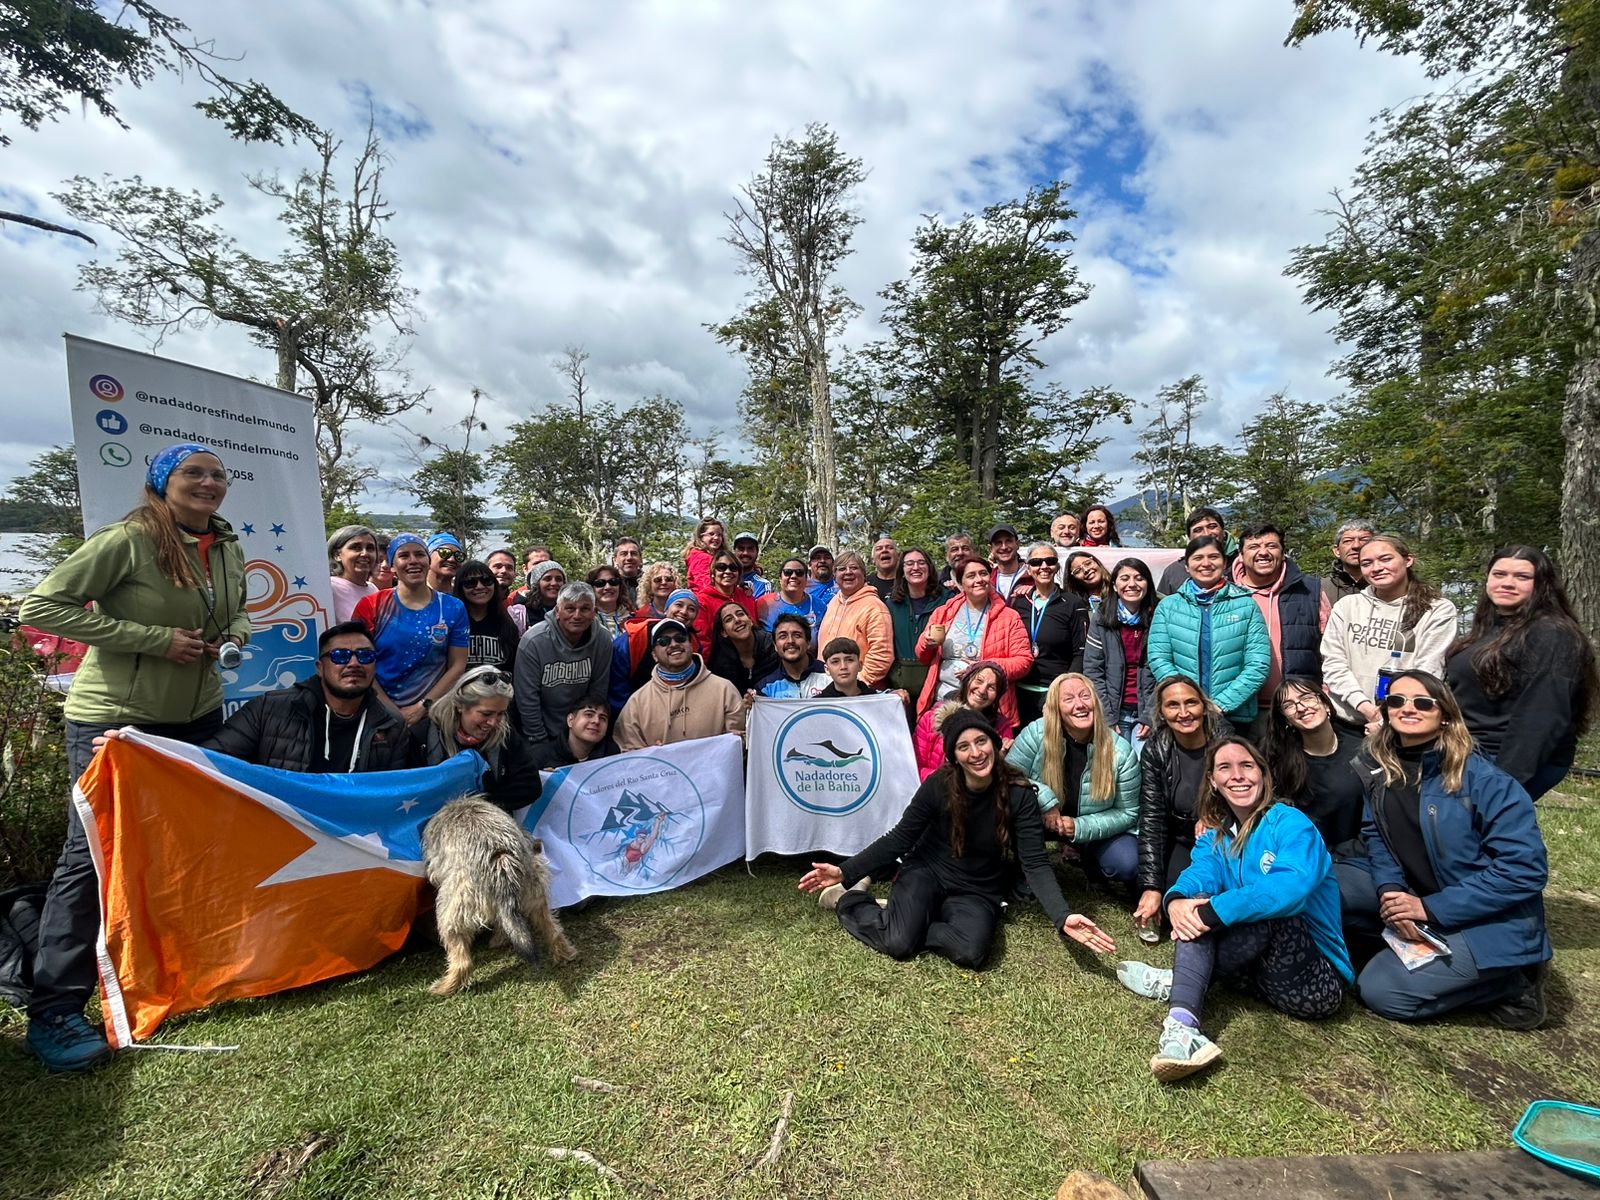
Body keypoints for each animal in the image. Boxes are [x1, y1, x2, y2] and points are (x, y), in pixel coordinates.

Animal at [422, 800, 579, 998]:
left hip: (451, 909)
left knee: (461, 958)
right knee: (552, 929)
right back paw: (565, 954)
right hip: (536, 892)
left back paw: (445, 987)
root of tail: (501, 860)